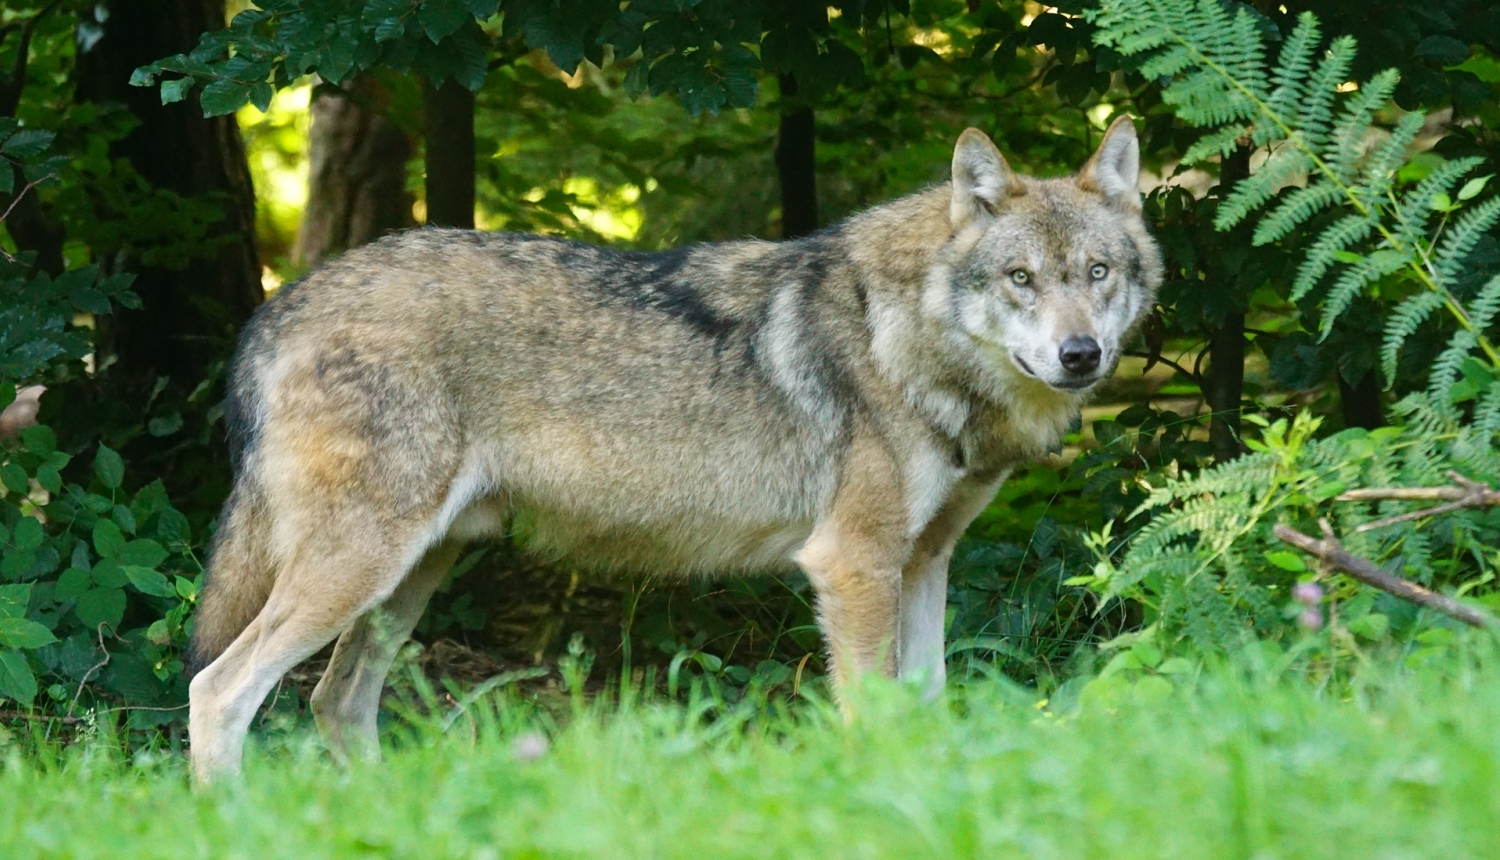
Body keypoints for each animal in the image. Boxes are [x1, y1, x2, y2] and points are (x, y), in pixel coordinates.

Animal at [184, 115, 1158, 780]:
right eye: (1020, 279)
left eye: (1097, 274)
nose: (1081, 355)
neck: (907, 336)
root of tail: (279, 306)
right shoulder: (854, 564)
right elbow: (873, 716)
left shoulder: (923, 562)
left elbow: (928, 706)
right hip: (359, 571)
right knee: (218, 691)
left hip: (408, 578)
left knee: (335, 702)